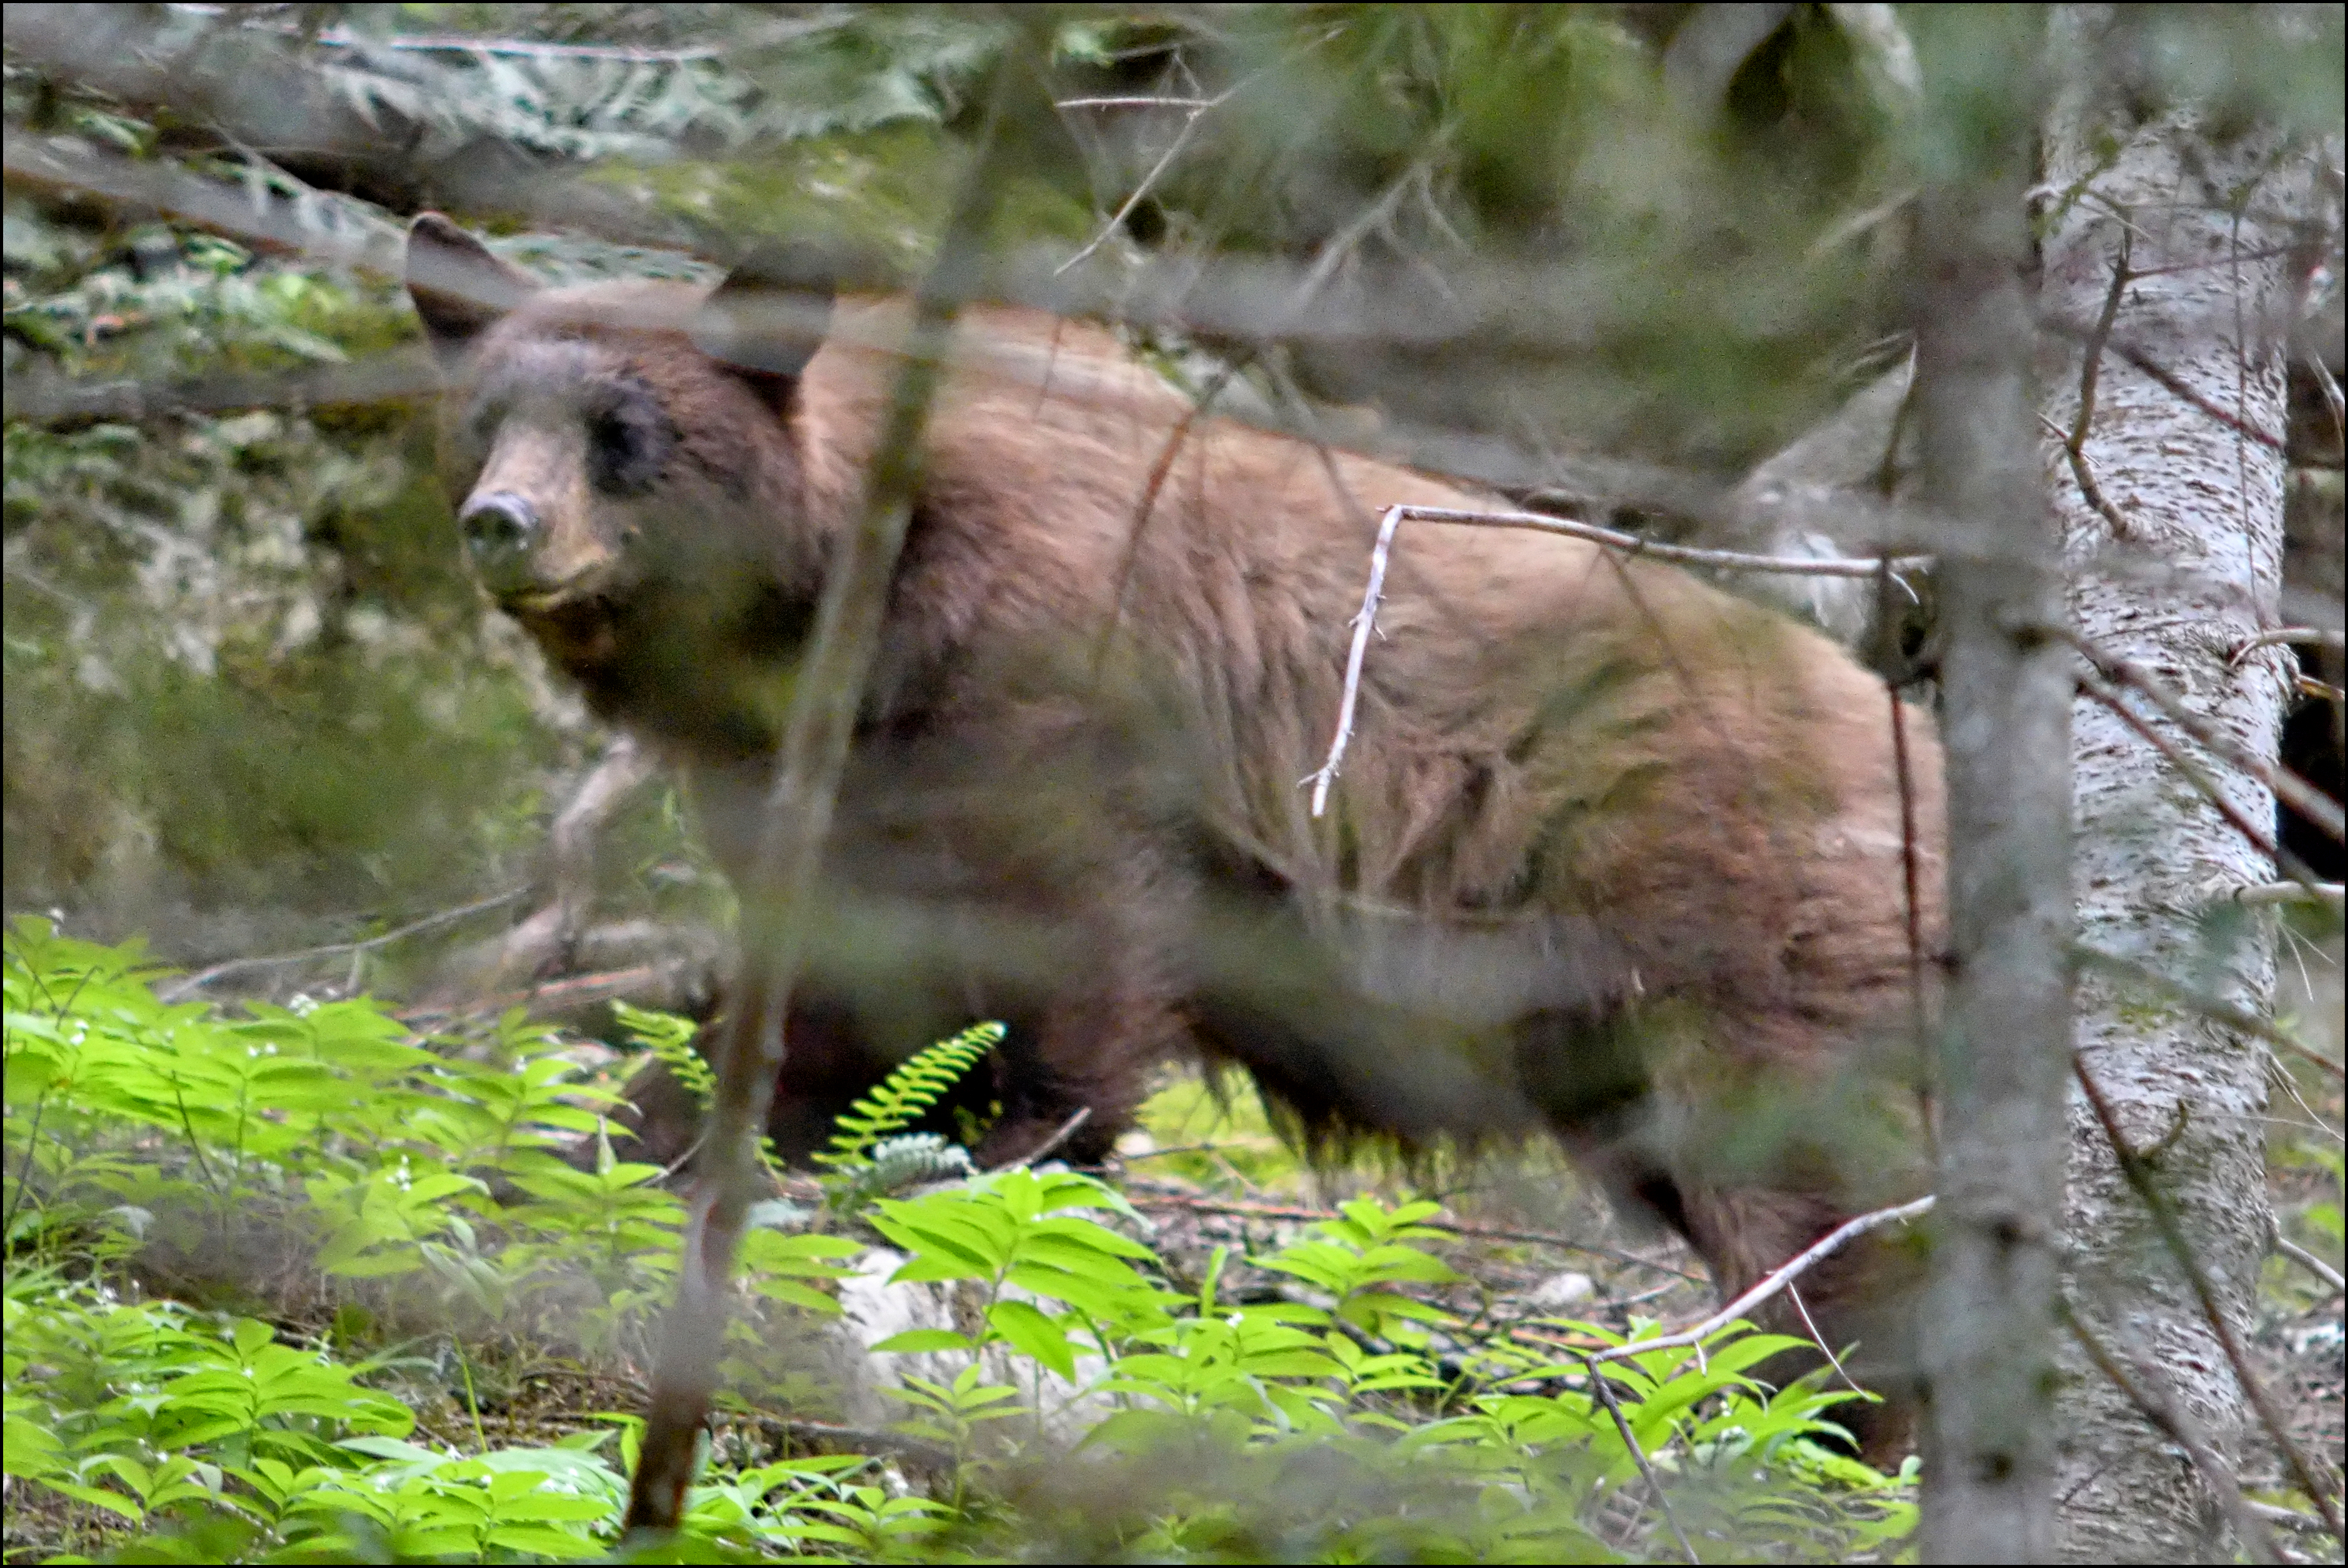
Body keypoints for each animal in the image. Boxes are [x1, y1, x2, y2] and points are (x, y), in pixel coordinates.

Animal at [408, 215, 1944, 1455]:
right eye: (485, 420)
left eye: (622, 431)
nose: (501, 523)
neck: (847, 590)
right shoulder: (832, 787)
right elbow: (828, 1005)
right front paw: (604, 1145)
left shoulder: (1043, 683)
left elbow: (1059, 962)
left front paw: (1005, 1162)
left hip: (1732, 944)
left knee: (1816, 1211)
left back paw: (1810, 1423)